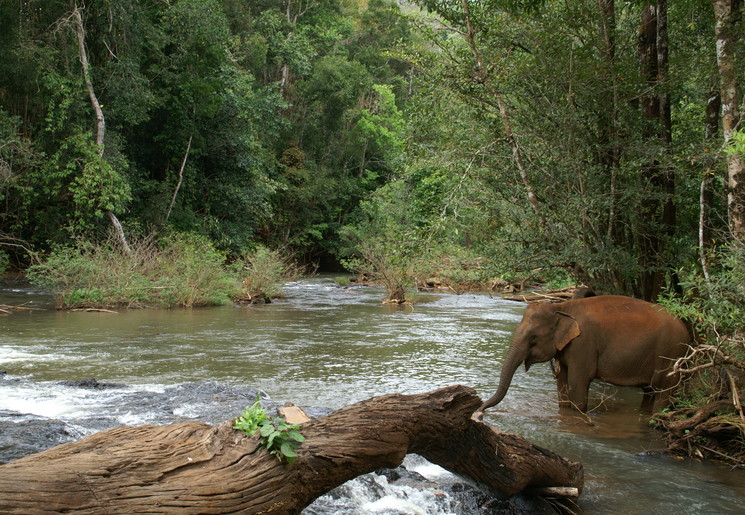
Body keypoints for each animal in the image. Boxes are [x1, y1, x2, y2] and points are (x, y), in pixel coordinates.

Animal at [476, 294, 692, 416]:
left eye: (533, 337)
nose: (480, 410)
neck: (562, 307)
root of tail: (686, 330)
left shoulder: (583, 344)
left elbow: (577, 385)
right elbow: (562, 385)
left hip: (670, 354)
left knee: (663, 393)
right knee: (649, 392)